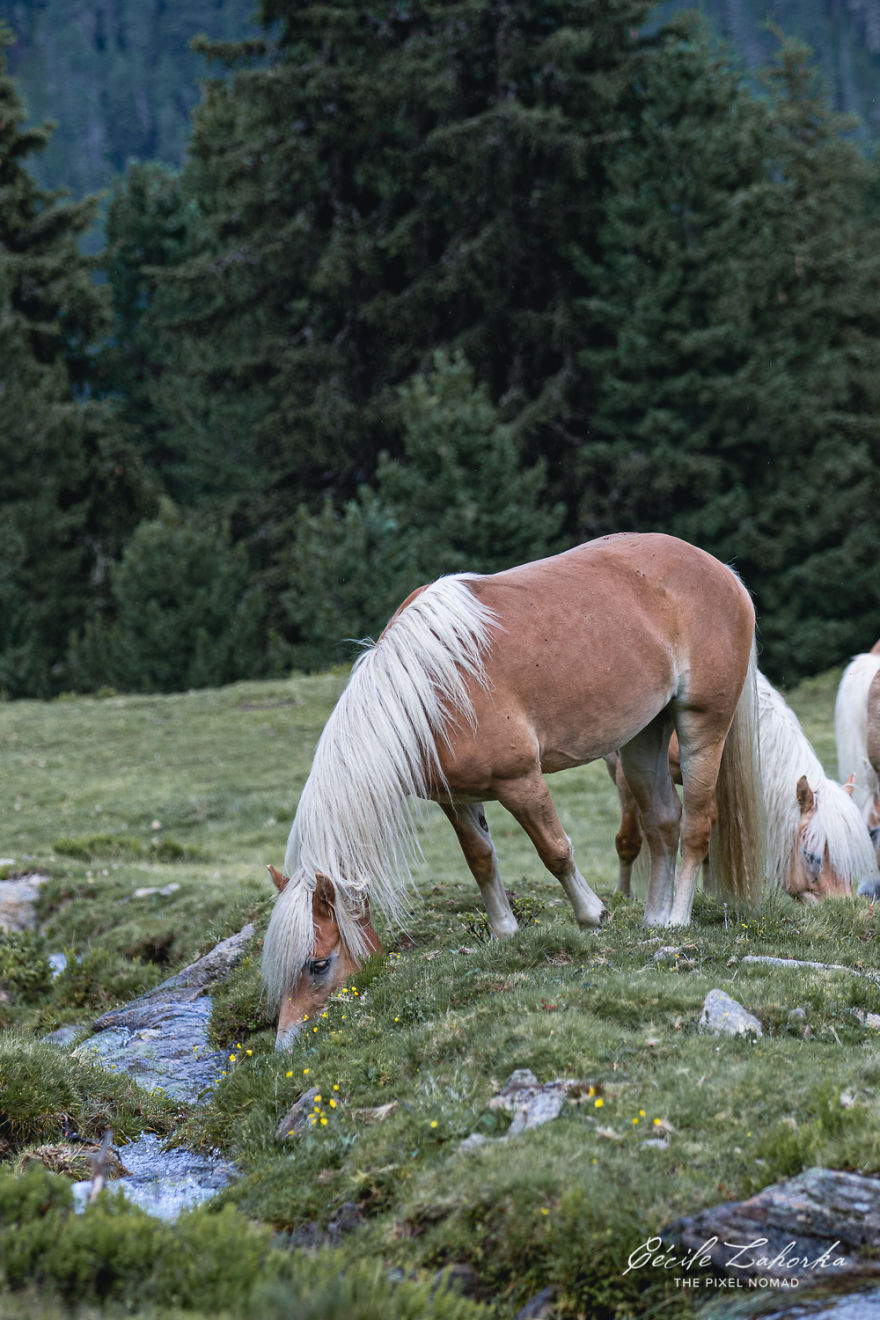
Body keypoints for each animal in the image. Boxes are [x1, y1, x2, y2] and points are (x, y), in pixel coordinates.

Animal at [263, 532, 766, 1048]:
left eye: (318, 964)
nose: (286, 1044)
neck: (429, 689)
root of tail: (720, 570)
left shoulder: (521, 782)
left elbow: (555, 850)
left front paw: (591, 916)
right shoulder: (459, 799)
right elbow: (480, 860)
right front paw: (505, 931)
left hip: (702, 724)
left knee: (696, 825)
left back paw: (678, 919)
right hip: (644, 735)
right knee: (663, 822)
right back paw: (654, 921)